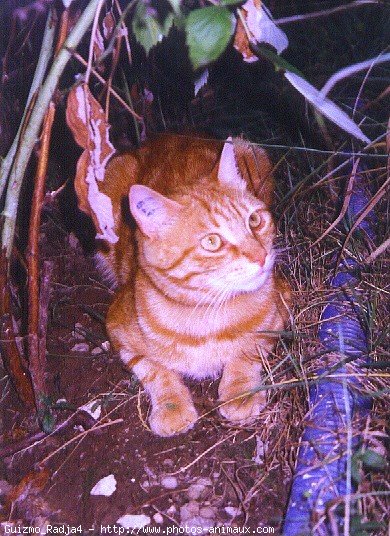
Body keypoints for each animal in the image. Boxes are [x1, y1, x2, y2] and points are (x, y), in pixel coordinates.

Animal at [98, 133, 290, 436]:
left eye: (254, 220)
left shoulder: (281, 311)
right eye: (212, 242)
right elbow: (156, 370)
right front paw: (172, 407)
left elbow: (247, 351)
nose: (261, 256)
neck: (204, 315)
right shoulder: (117, 330)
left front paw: (241, 391)